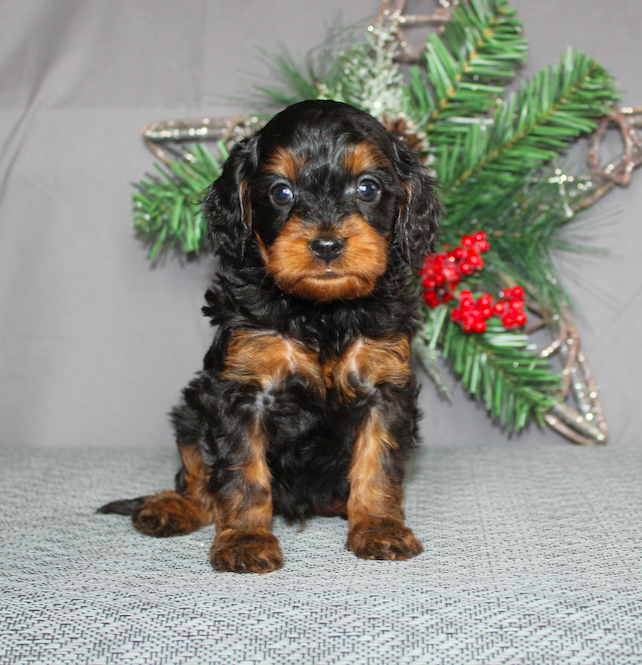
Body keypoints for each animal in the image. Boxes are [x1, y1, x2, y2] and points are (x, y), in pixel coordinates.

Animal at [99, 98, 440, 572]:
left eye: (368, 188)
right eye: (282, 192)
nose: (327, 245)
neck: (321, 312)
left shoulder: (383, 387)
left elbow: (378, 463)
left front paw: (378, 527)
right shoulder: (242, 390)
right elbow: (244, 473)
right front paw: (244, 539)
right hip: (190, 411)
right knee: (198, 476)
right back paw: (172, 507)